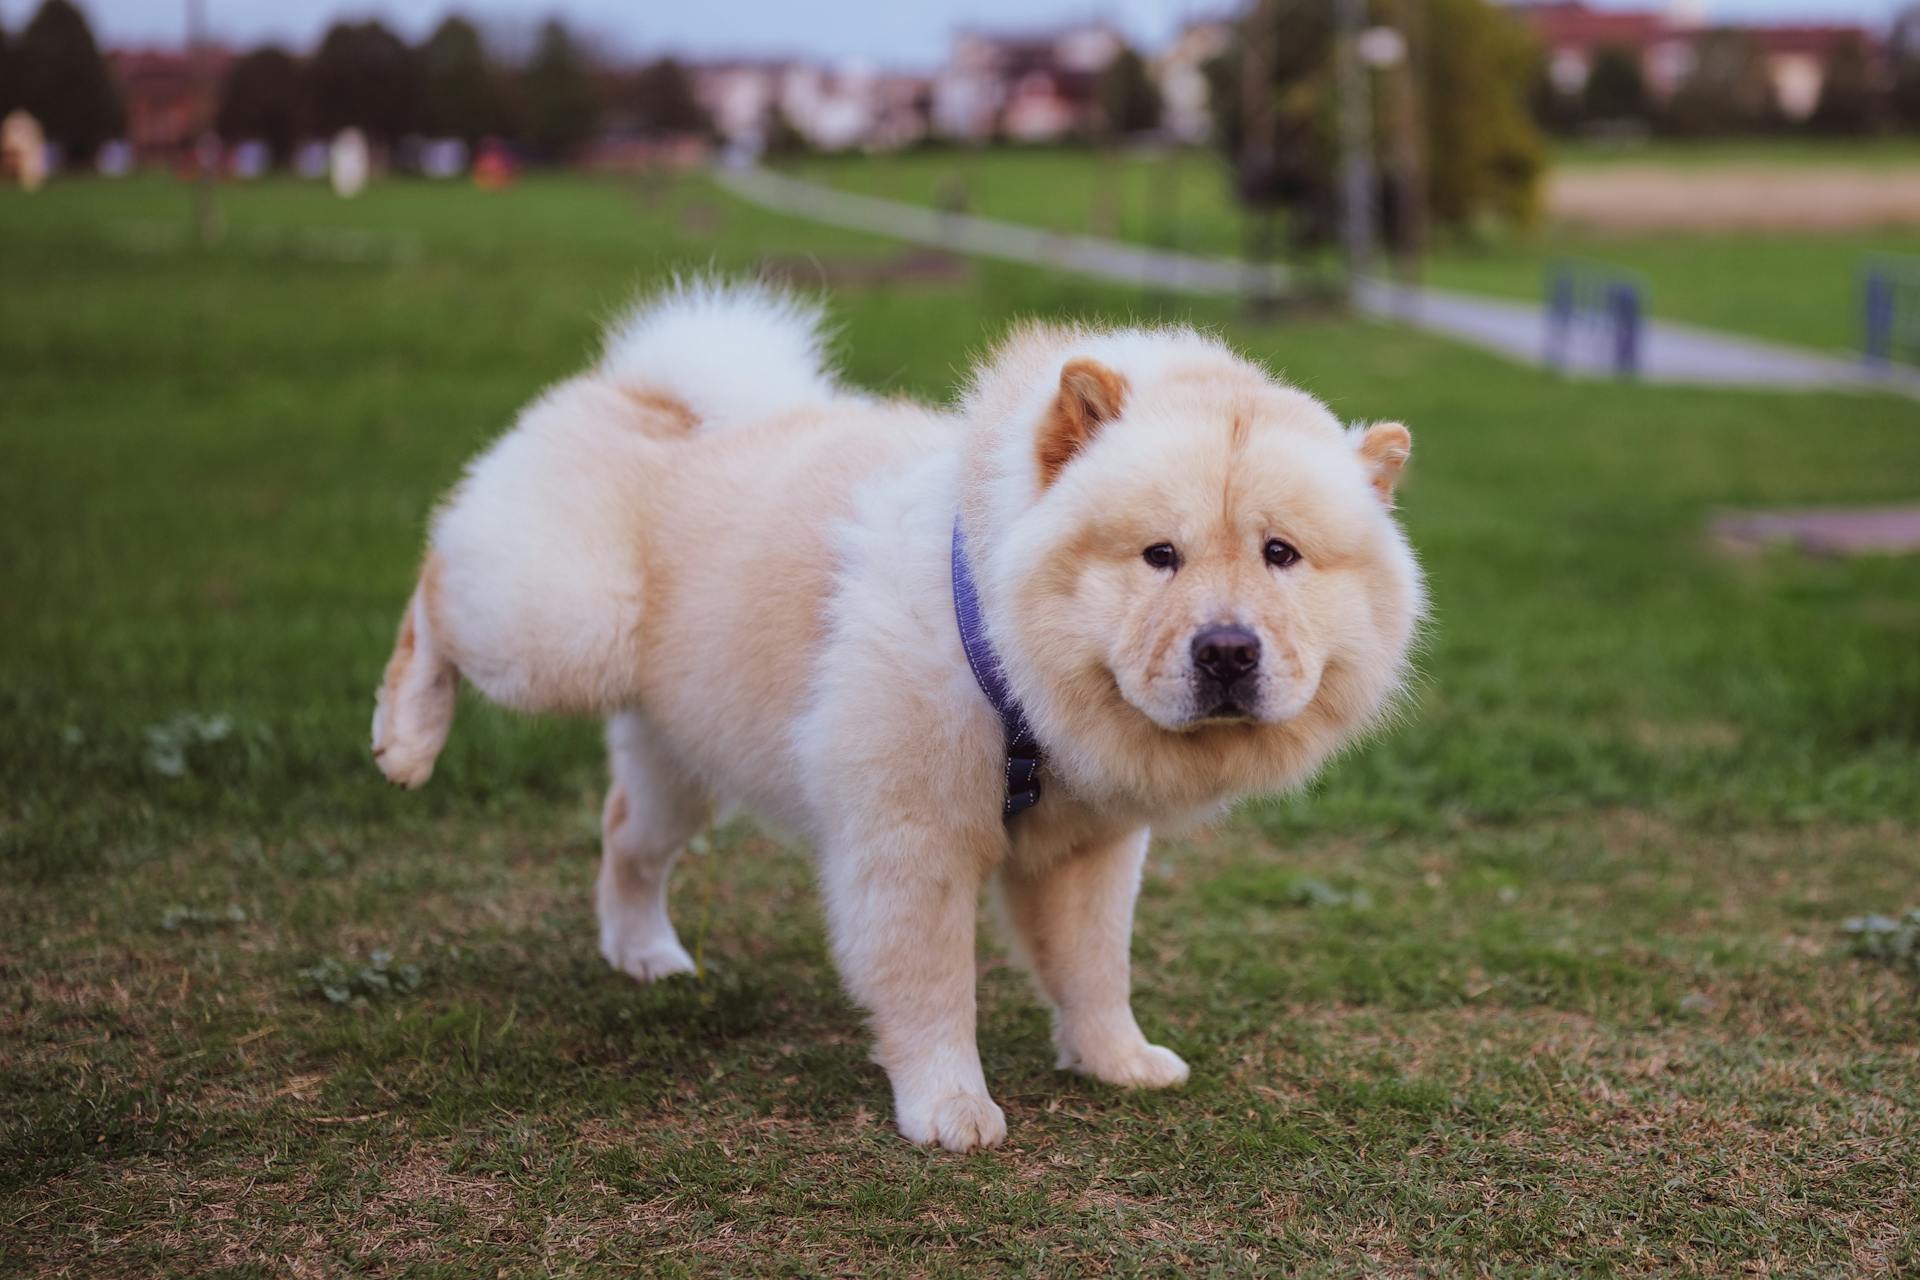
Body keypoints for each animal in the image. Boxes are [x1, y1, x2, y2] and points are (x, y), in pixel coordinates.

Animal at [374, 280, 1428, 1151]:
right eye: (1158, 555)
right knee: (434, 583)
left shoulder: (1090, 849)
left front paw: (1119, 1062)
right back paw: (405, 736)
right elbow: (932, 989)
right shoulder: (911, 838)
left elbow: (1096, 967)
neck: (1013, 673)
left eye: (1281, 555)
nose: (1227, 650)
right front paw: (951, 1111)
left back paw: (646, 956)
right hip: (561, 630)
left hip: (683, 756)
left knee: (626, 836)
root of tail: (646, 392)